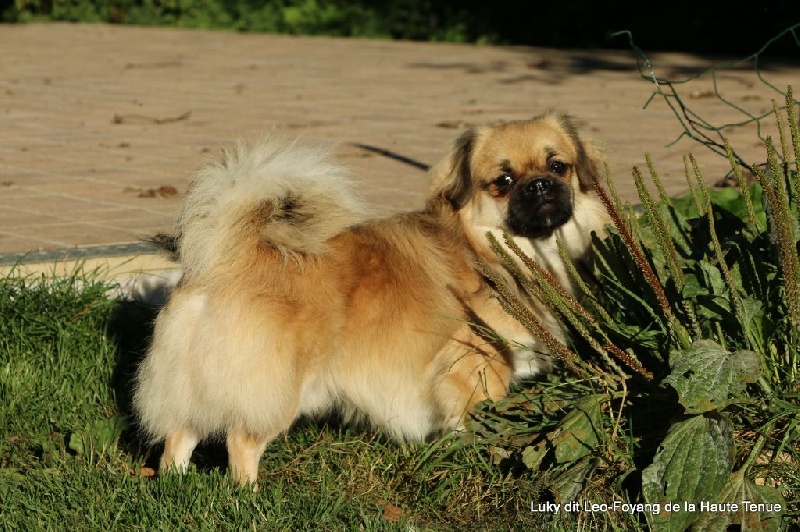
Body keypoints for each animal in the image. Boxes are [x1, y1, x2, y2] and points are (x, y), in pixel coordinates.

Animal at [133, 112, 608, 486]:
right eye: (503, 182)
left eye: (559, 167)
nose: (540, 186)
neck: (495, 253)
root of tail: (228, 255)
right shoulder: (475, 370)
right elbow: (478, 421)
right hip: (274, 393)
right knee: (240, 441)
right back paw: (248, 498)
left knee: (179, 436)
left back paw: (175, 485)